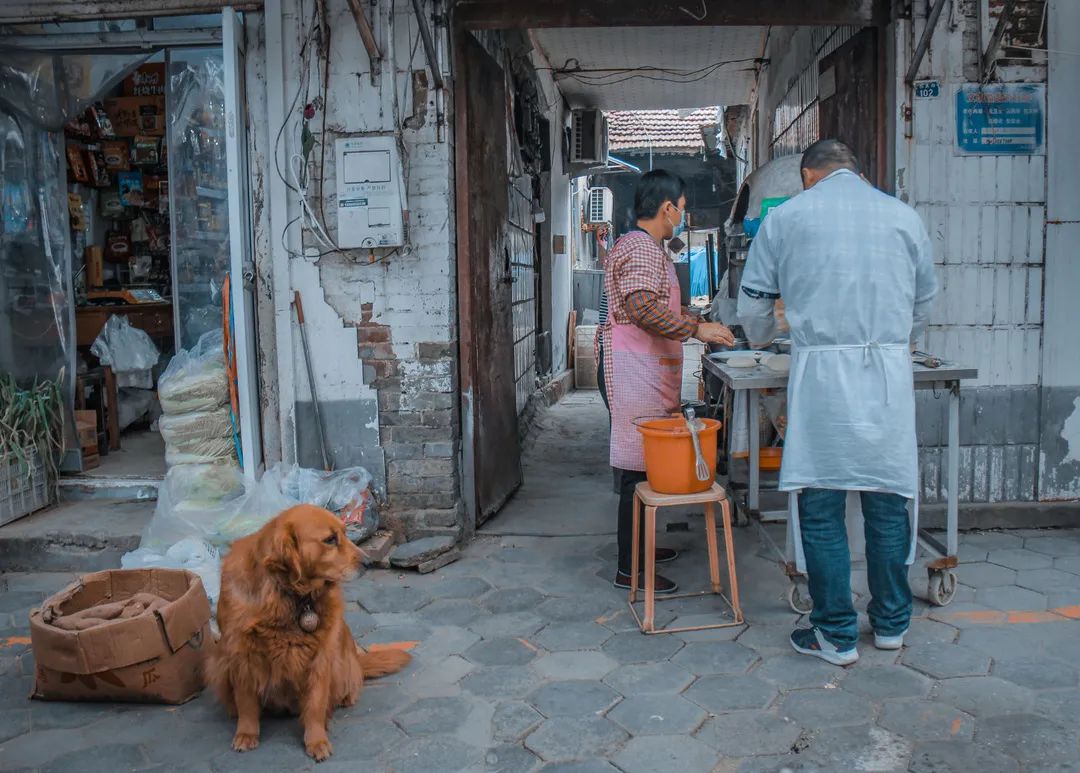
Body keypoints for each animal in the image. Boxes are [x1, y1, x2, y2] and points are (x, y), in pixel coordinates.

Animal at [204, 500, 410, 760]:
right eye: (330, 539)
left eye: (346, 533)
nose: (368, 562)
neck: (289, 595)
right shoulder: (240, 654)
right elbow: (246, 702)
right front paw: (246, 733)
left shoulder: (319, 656)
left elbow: (315, 704)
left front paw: (316, 740)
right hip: (218, 663)